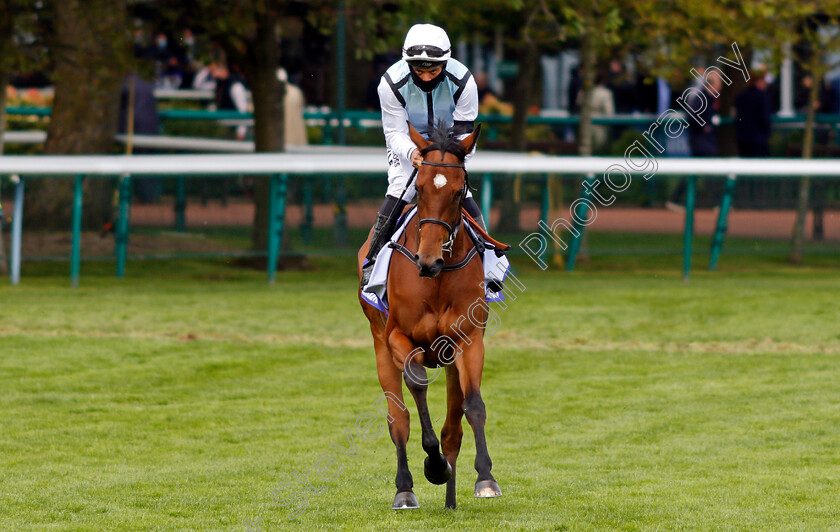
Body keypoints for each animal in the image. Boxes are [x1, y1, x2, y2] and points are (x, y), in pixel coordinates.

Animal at [358, 122, 502, 510]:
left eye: (457, 192)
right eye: (420, 188)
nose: (428, 260)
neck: (436, 279)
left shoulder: (468, 340)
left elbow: (473, 405)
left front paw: (485, 478)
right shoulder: (397, 337)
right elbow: (417, 387)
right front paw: (433, 465)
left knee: (453, 427)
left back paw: (450, 497)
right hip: (379, 344)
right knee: (398, 419)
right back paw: (405, 488)